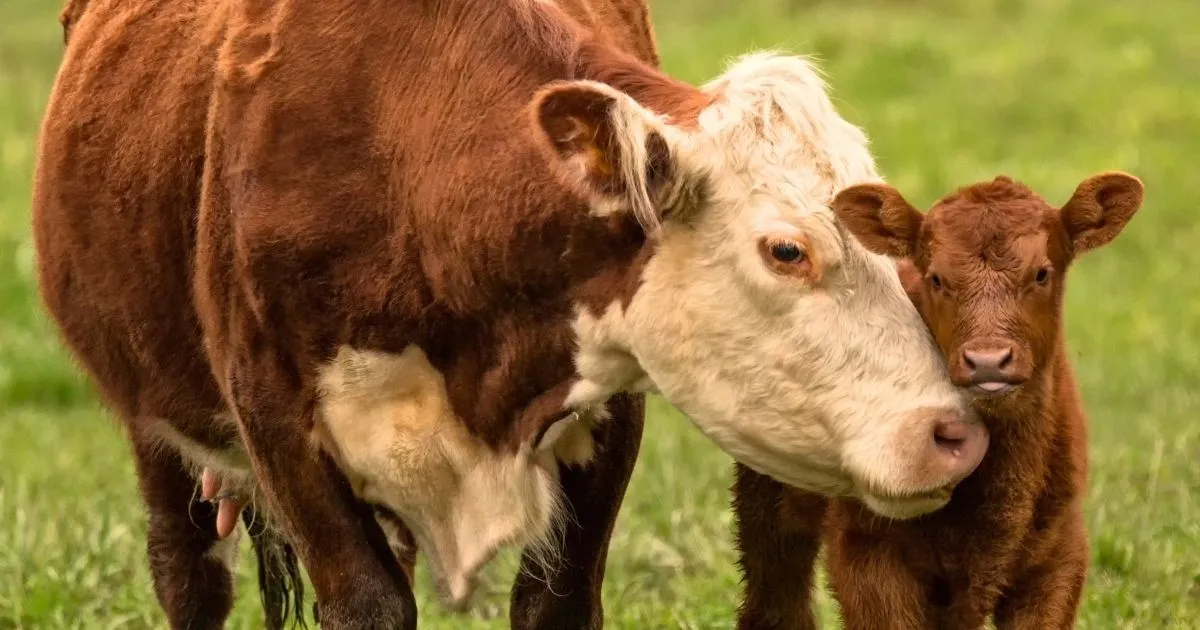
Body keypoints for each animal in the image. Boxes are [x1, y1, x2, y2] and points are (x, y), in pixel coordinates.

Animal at [32, 0, 985, 628]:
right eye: (787, 250)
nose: (955, 433)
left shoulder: (607, 408)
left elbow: (552, 601)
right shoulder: (276, 421)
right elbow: (367, 603)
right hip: (155, 421)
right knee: (188, 575)